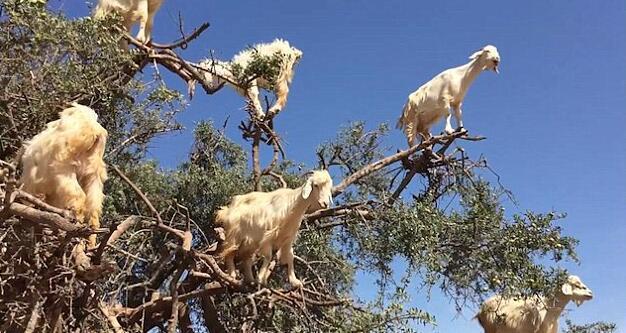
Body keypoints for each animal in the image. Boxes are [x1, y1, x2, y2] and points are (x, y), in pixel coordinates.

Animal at [19, 103, 108, 246]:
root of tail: (94, 130)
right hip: (94, 174)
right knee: (94, 210)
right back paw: (89, 242)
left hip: (63, 168)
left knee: (79, 199)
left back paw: (75, 232)